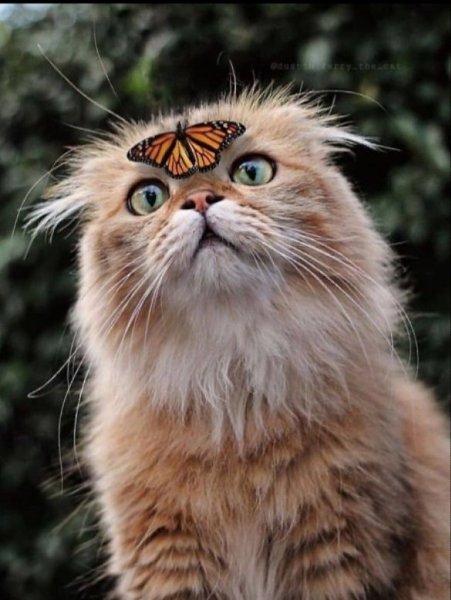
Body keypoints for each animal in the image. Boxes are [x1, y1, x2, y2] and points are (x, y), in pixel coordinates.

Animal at [30, 87, 450, 600]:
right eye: (148, 198)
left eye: (252, 171)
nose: (199, 199)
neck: (232, 386)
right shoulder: (167, 562)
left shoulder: (341, 550)